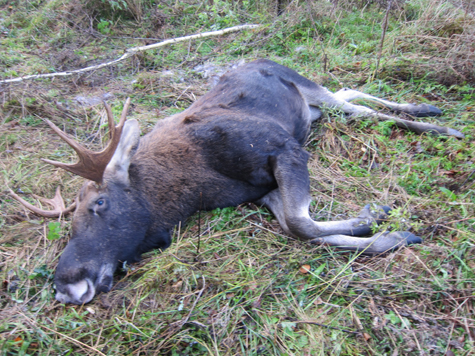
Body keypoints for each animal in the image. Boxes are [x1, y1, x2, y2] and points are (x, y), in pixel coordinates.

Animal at [10, 59, 464, 304]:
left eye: (98, 204)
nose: (65, 286)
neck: (193, 189)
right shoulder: (263, 192)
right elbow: (301, 227)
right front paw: (387, 232)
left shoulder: (284, 149)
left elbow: (301, 223)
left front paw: (378, 217)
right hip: (316, 107)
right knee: (351, 93)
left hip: (306, 87)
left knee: (361, 107)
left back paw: (436, 120)